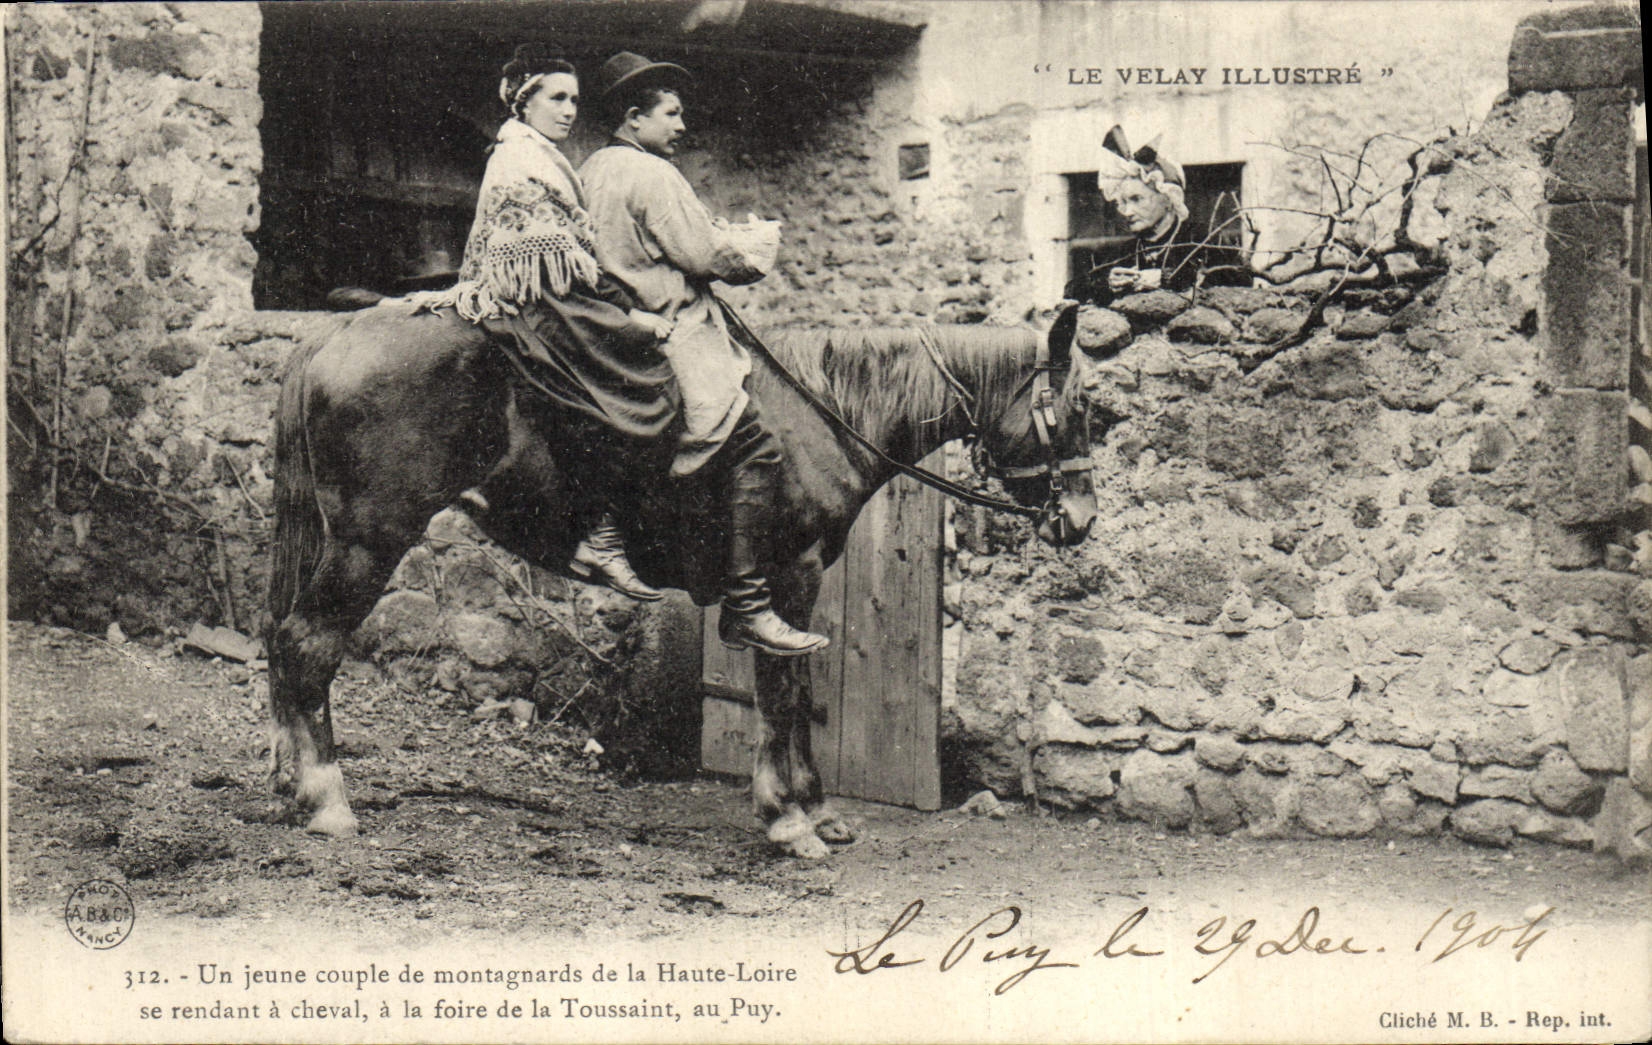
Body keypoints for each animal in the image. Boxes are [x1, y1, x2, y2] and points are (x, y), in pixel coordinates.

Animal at [267, 301, 1100, 859]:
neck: (821, 411)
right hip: (368, 543)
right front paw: (789, 817)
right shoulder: (786, 580)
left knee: (283, 642)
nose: (1082, 518)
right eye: (1081, 406)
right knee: (309, 645)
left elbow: (795, 691)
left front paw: (816, 808)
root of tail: (332, 333)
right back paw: (329, 798)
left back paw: (290, 781)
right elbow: (781, 696)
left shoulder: (795, 594)